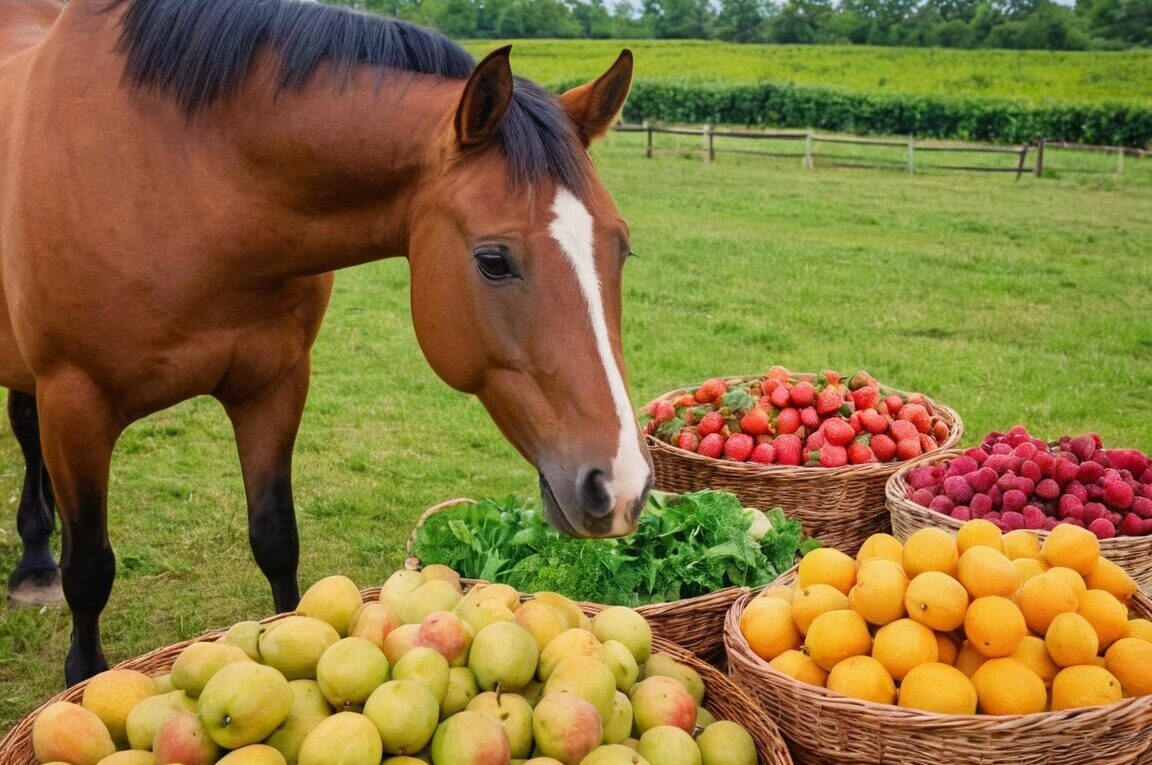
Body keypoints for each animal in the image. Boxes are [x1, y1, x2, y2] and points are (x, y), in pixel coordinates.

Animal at [0, 0, 653, 686]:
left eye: (621, 248)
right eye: (493, 261)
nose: (622, 485)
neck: (179, 179)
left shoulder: (274, 385)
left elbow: (275, 536)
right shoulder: (77, 402)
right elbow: (90, 569)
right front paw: (82, 674)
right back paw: (37, 566)